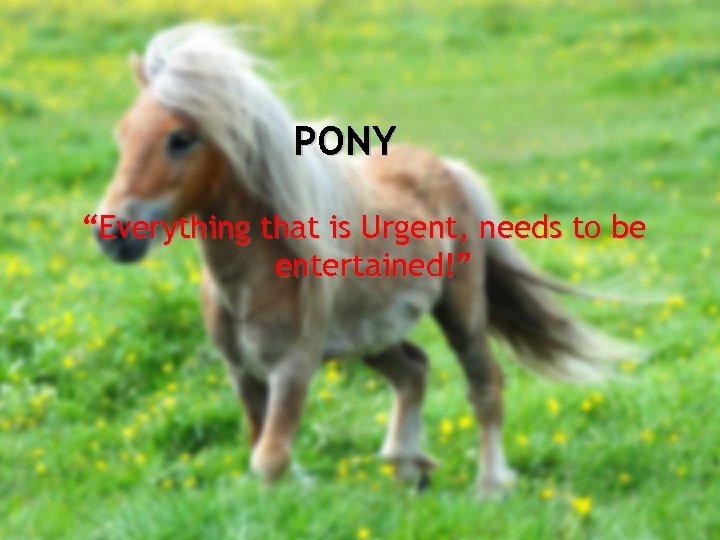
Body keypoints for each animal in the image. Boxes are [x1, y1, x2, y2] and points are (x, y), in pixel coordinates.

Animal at [94, 24, 632, 497]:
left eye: (181, 138)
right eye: (122, 134)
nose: (112, 234)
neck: (249, 280)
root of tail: (448, 169)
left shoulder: (293, 367)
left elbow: (269, 458)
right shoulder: (242, 371)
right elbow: (261, 447)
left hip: (459, 310)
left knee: (485, 386)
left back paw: (488, 487)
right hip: (372, 334)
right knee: (414, 369)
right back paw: (408, 467)